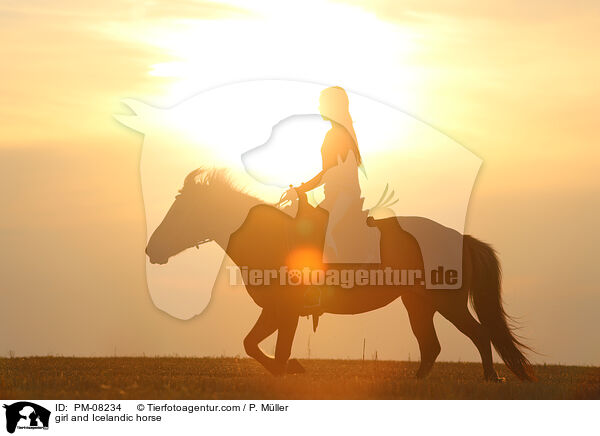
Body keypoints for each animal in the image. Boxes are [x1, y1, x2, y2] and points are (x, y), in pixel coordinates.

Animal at [145, 169, 536, 380]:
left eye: (181, 211)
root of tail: (462, 238)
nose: (151, 250)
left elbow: (274, 351)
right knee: (432, 347)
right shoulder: (275, 311)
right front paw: (292, 369)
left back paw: (492, 378)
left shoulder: (286, 312)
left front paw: (288, 370)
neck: (268, 238)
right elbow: (252, 344)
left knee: (479, 334)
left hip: (448, 302)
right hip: (418, 304)